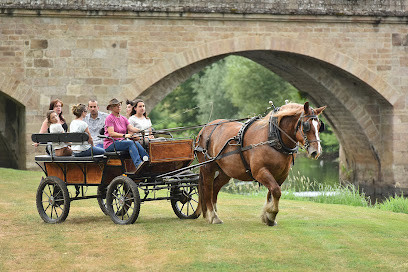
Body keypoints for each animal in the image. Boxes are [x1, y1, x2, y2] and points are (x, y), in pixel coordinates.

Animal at [194, 102, 326, 225]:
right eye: (306, 125)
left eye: (319, 126)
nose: (316, 151)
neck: (274, 139)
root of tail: (205, 128)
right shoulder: (260, 172)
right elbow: (276, 191)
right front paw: (272, 213)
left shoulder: (281, 175)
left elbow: (272, 194)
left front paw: (267, 216)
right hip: (207, 167)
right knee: (208, 188)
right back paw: (213, 215)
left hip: (226, 171)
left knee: (215, 187)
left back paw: (214, 212)